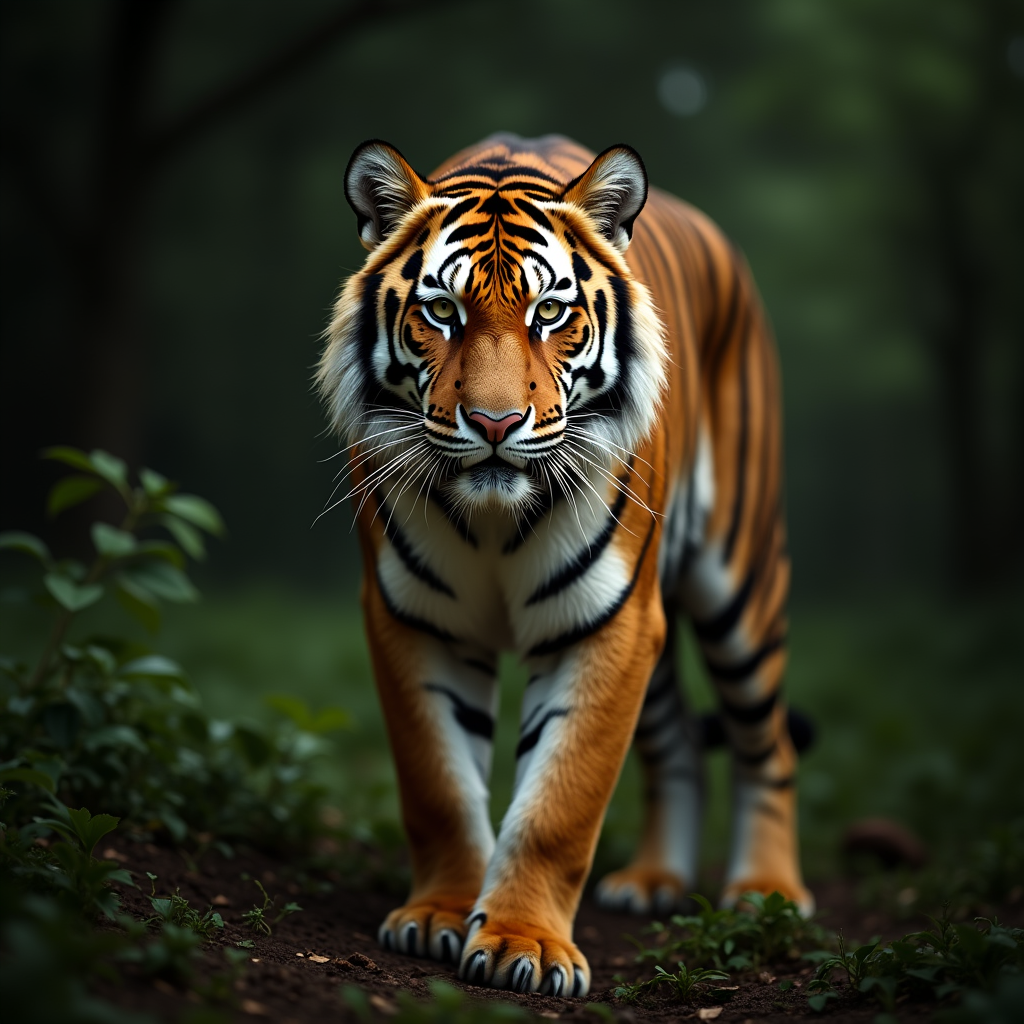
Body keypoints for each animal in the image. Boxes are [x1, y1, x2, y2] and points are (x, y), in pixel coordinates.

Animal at [317, 133, 811, 998]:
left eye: (550, 313)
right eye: (441, 312)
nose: (493, 422)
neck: (491, 520)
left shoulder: (609, 624)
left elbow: (559, 803)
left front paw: (524, 945)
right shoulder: (414, 618)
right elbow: (438, 783)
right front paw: (439, 916)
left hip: (740, 585)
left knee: (769, 741)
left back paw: (767, 894)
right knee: (676, 739)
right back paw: (652, 882)